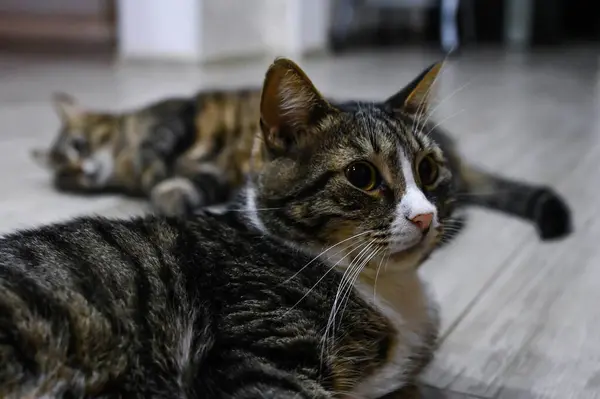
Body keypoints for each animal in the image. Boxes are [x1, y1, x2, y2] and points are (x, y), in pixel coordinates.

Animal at [31, 64, 572, 242]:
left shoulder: (173, 120)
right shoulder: (212, 174)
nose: (83, 171)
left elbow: (157, 151)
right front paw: (167, 194)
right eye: (67, 175)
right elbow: (182, 184)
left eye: (78, 145)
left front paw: (154, 181)